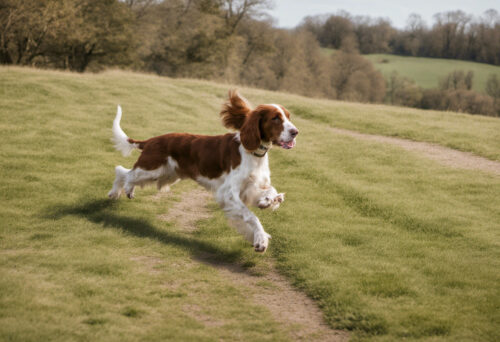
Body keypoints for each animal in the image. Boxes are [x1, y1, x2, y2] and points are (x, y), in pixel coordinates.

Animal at [108, 90, 296, 251]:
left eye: (288, 116)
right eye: (275, 118)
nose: (296, 132)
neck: (253, 153)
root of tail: (151, 141)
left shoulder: (248, 189)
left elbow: (269, 191)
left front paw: (269, 201)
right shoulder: (228, 193)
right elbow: (251, 216)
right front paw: (261, 239)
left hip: (166, 174)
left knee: (126, 173)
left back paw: (123, 192)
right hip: (153, 169)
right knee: (124, 172)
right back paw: (118, 192)